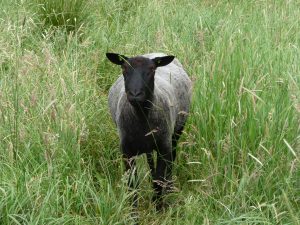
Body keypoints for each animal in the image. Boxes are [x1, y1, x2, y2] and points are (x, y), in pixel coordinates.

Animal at [105, 51, 192, 208]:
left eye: (152, 69)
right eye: (123, 68)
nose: (135, 94)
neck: (141, 117)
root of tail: (157, 53)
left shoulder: (164, 147)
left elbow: (159, 180)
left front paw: (158, 207)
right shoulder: (127, 151)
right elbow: (132, 183)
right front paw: (133, 211)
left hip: (176, 132)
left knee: (171, 159)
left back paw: (169, 188)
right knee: (151, 162)